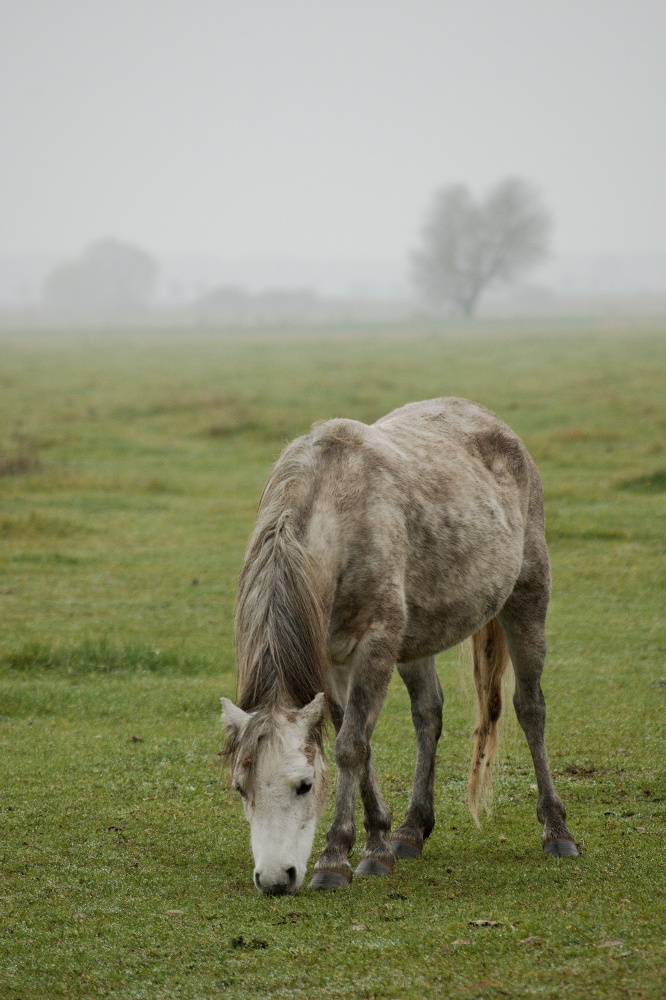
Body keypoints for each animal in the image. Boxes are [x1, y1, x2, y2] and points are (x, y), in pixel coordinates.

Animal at [222, 398, 576, 900]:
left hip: (527, 598)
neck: (337, 514)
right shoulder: (334, 658)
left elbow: (351, 745)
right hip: (416, 640)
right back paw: (411, 831)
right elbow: (358, 738)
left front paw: (335, 859)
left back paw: (557, 831)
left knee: (530, 708)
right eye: (240, 787)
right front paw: (378, 843)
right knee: (428, 713)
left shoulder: (376, 643)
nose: (274, 879)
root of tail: (493, 423)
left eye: (305, 785)